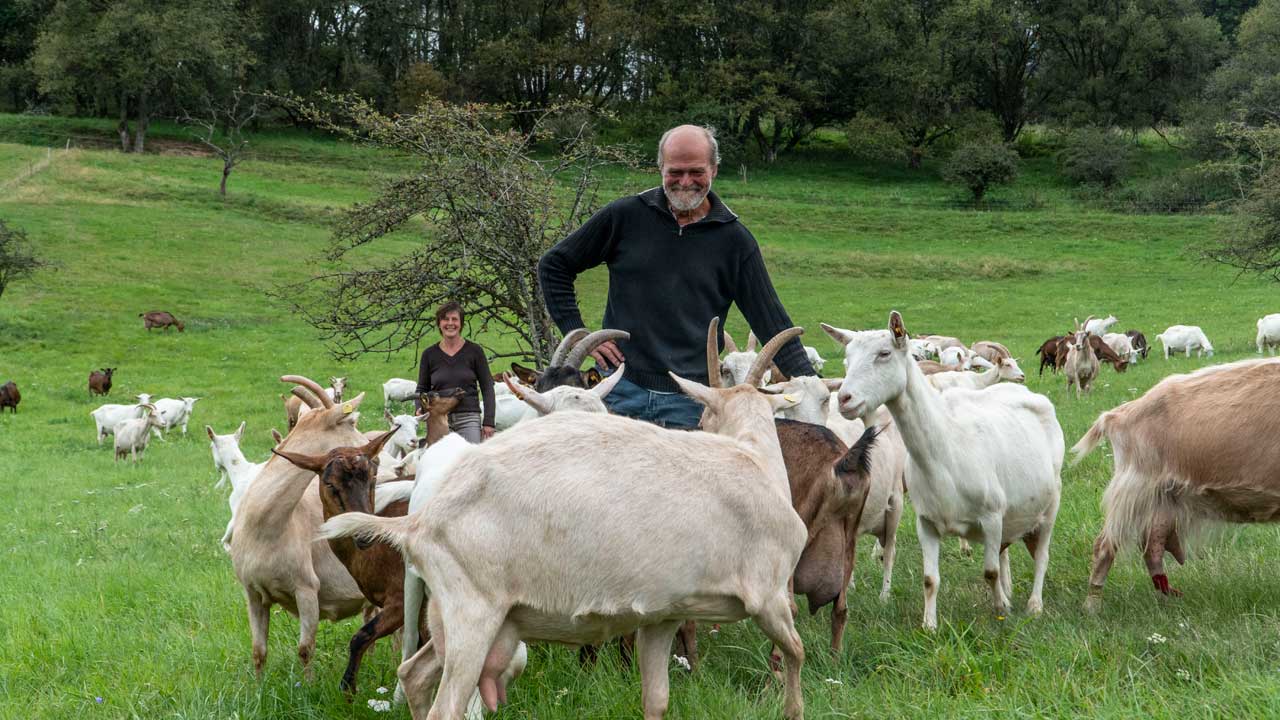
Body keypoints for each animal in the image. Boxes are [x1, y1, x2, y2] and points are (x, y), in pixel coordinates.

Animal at [229, 376, 371, 676]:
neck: (267, 528)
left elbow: (306, 649)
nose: (371, 447)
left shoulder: (306, 590)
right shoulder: (252, 593)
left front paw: (307, 685)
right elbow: (258, 651)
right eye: (350, 423)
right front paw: (259, 686)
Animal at [275, 425, 419, 696]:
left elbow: (361, 637)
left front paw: (348, 688)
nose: (364, 534)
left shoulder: (402, 598)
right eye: (330, 484)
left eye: (373, 477)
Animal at [322, 320, 819, 717]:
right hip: (472, 614)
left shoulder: (662, 616)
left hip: (457, 617)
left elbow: (656, 699)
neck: (754, 458)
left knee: (414, 672)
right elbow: (796, 653)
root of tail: (420, 523)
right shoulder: (769, 594)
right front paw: (792, 708)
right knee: (446, 703)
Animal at [824, 311, 1064, 625]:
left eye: (884, 353)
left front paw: (1001, 609)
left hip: (1051, 503)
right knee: (1006, 550)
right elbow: (929, 579)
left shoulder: (992, 516)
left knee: (1042, 556)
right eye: (847, 359)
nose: (844, 399)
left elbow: (990, 571)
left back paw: (1034, 605)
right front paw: (929, 624)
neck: (945, 449)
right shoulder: (925, 521)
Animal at [1070, 356, 1280, 607]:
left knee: (1150, 546)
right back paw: (1092, 605)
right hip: (1134, 489)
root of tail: (1117, 415)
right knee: (1104, 545)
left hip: (1162, 500)